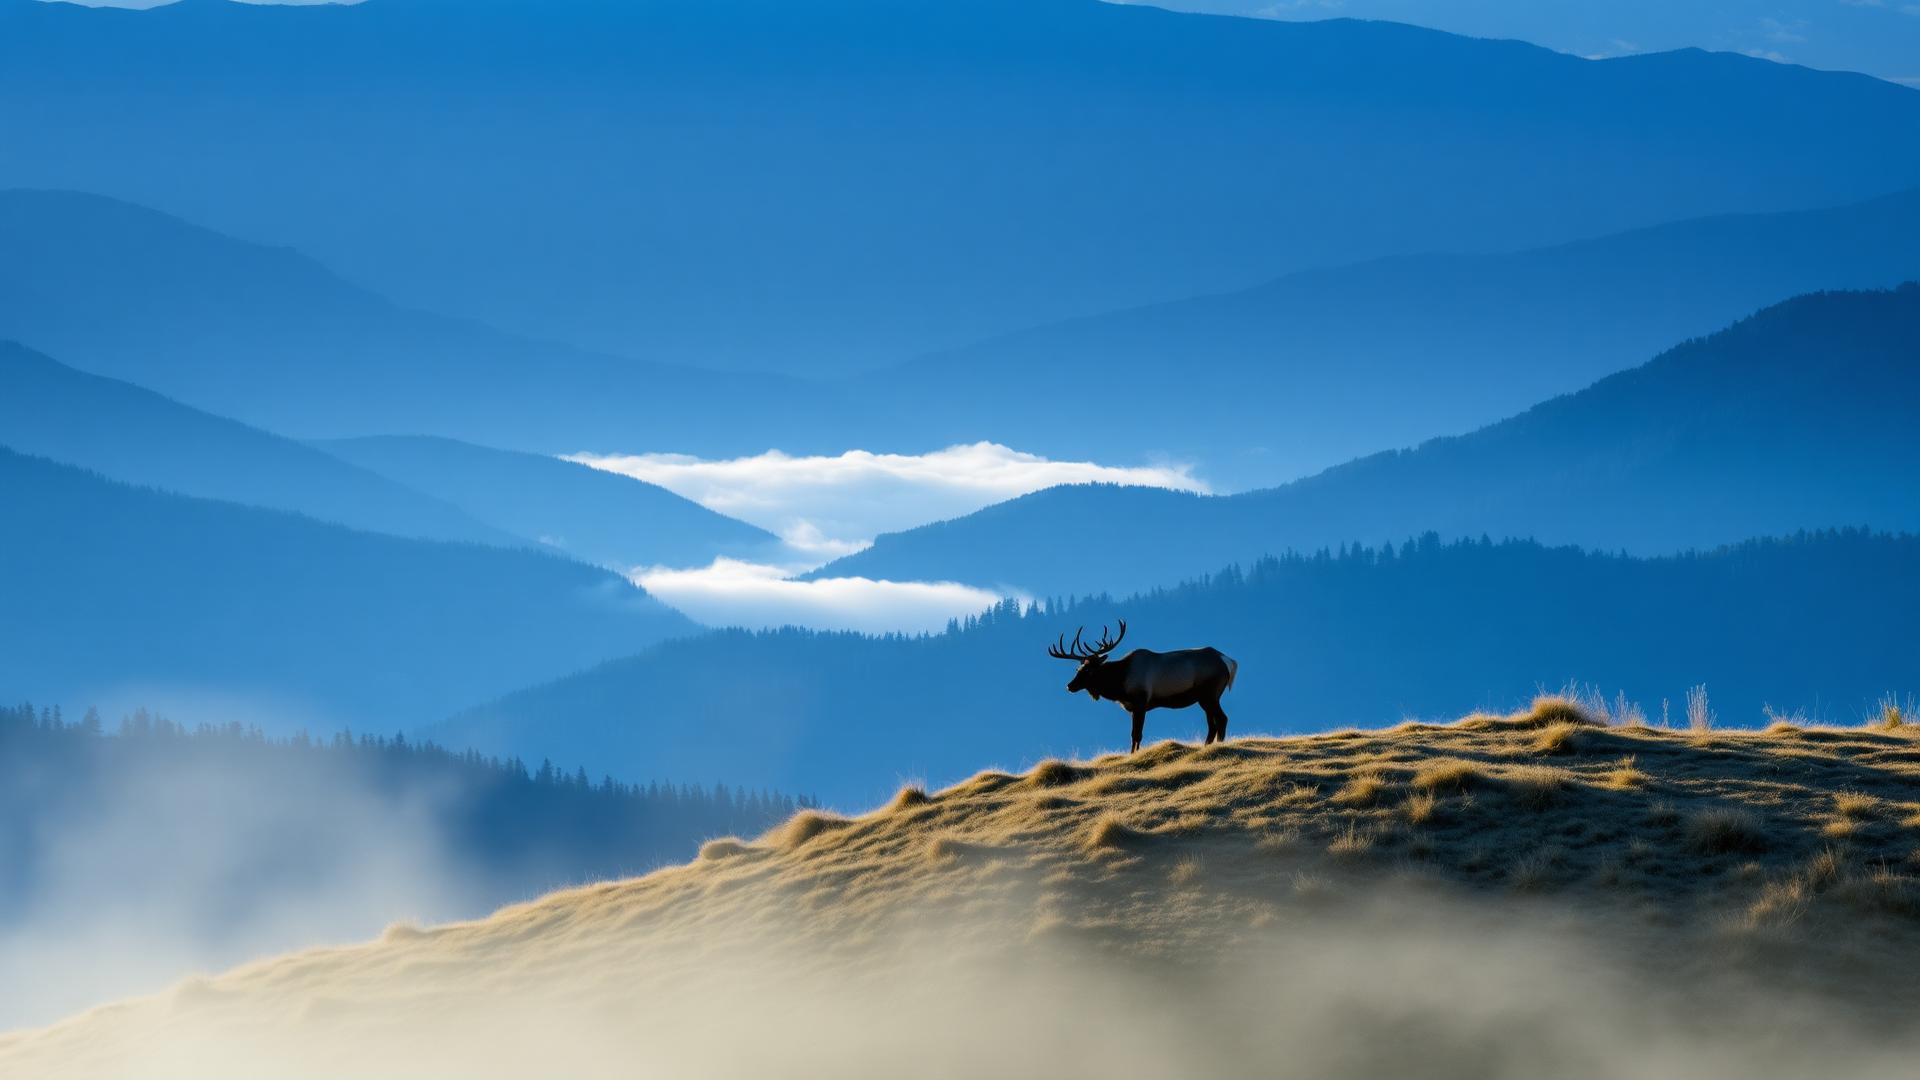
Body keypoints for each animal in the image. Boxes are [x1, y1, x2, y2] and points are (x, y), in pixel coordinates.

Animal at [1046, 621, 1237, 752]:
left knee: (1222, 719)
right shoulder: (1133, 707)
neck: (1120, 683)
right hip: (1204, 698)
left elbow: (1137, 734)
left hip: (1210, 694)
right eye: (1078, 669)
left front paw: (1134, 755)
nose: (1069, 686)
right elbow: (1133, 734)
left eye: (1089, 671)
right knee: (1212, 723)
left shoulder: (1141, 702)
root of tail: (1228, 661)